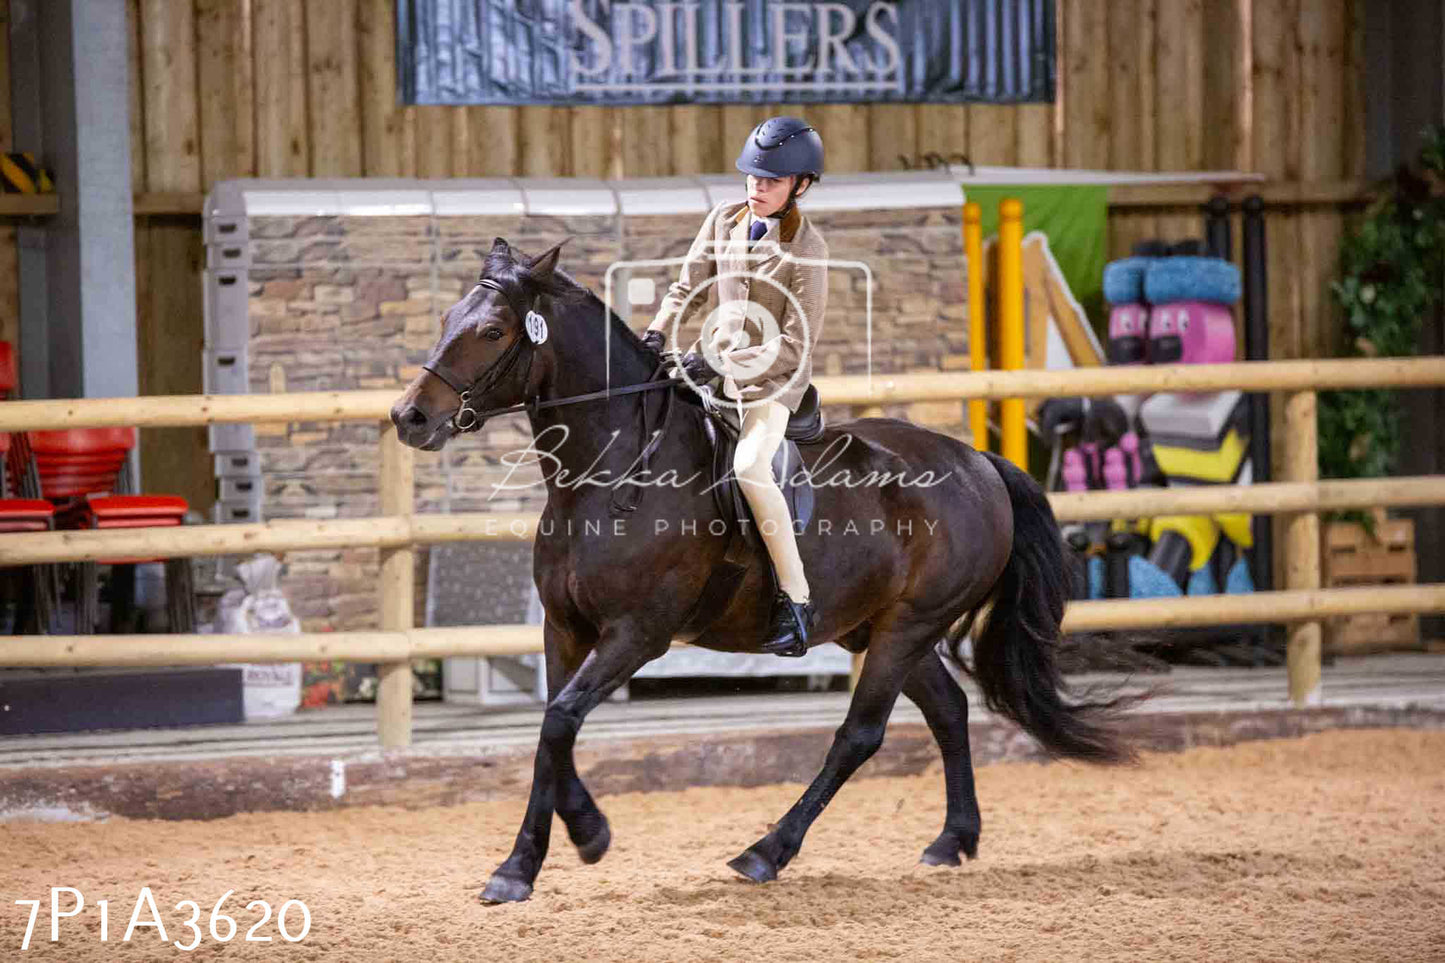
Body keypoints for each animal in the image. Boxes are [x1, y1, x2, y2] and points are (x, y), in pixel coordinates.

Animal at [390, 238, 1132, 902]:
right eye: (447, 317)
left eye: (491, 331)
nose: (409, 416)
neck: (611, 474)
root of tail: (979, 462)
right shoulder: (565, 627)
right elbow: (553, 725)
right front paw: (529, 862)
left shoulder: (637, 634)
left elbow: (561, 720)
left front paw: (578, 838)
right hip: (884, 629)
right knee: (948, 710)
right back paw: (953, 839)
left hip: (906, 629)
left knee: (858, 735)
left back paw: (765, 852)